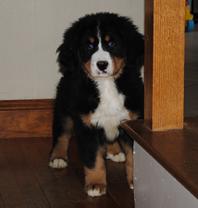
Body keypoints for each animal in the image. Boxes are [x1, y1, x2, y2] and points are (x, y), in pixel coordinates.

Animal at [48, 12, 143, 197]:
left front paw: (135, 180)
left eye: (112, 43)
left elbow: (133, 156)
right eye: (89, 46)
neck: (106, 85)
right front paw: (95, 184)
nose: (102, 64)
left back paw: (115, 151)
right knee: (62, 133)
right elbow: (93, 159)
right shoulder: (87, 125)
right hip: (64, 107)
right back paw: (58, 157)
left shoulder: (131, 122)